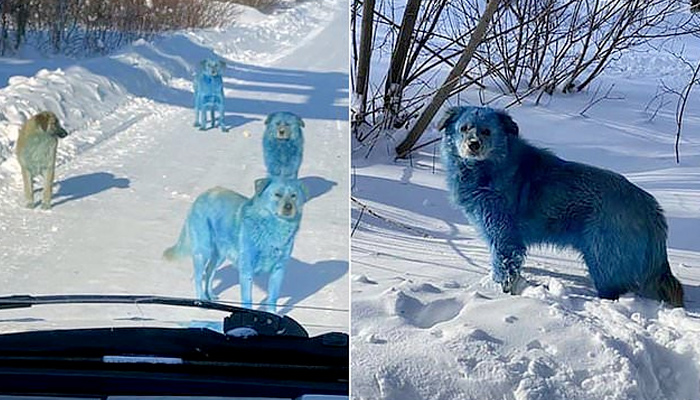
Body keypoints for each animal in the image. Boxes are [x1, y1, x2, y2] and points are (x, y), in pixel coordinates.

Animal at [165, 177, 308, 312]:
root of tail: (203, 195)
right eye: (277, 194)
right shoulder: (247, 269)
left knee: (210, 272)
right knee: (198, 277)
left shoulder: (278, 269)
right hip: (203, 251)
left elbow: (273, 298)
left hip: (219, 255)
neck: (272, 228)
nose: (288, 207)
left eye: (294, 195)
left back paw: (211, 297)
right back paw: (202, 301)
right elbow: (247, 299)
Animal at [440, 105, 680, 306]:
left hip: (602, 260)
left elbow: (504, 267)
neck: (491, 167)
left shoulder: (503, 236)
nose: (473, 145)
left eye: (487, 131)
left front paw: (501, 294)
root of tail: (649, 207)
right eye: (464, 128)